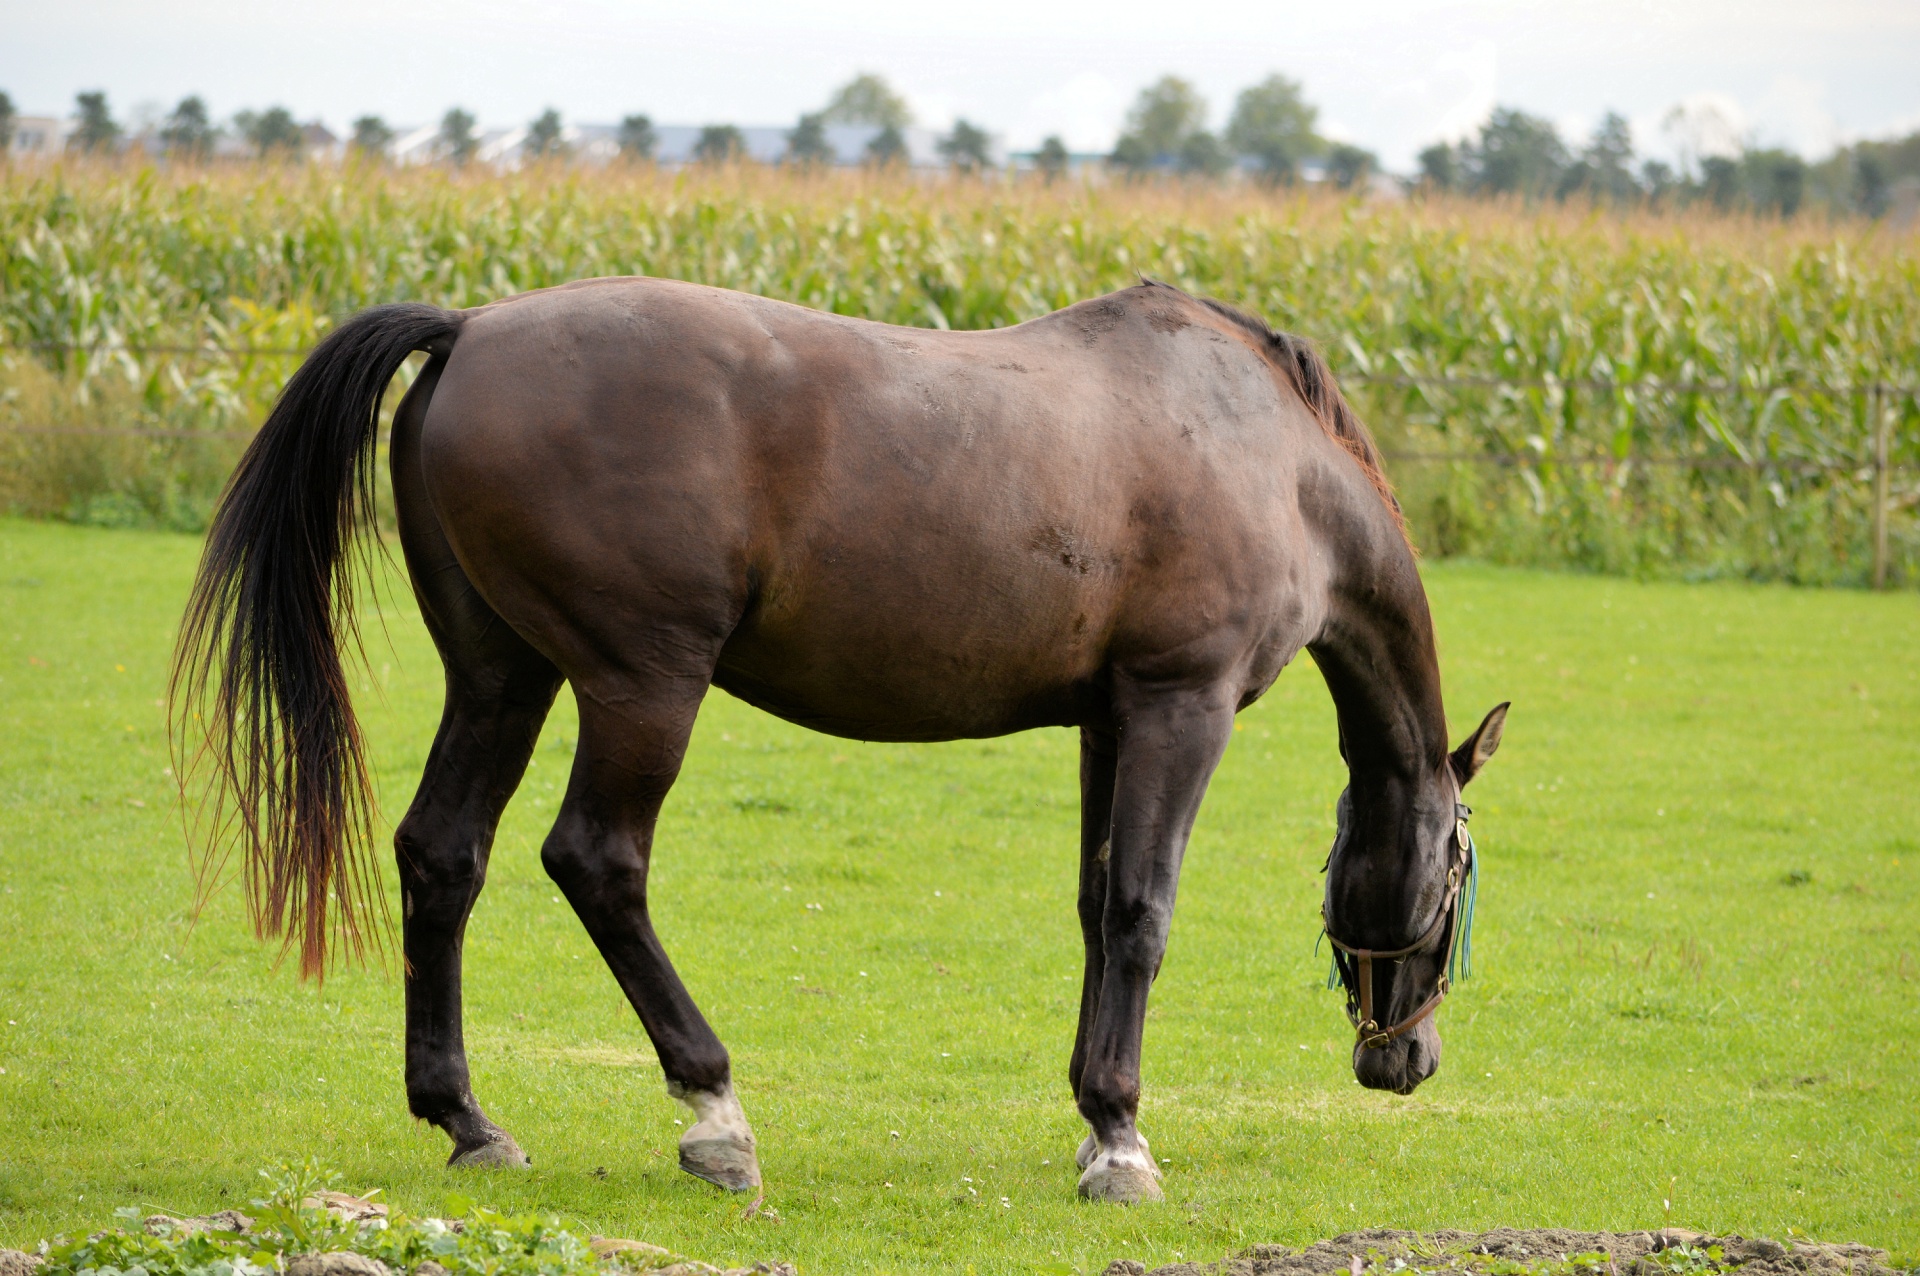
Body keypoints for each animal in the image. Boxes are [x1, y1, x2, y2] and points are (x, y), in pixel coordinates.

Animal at [172, 276, 1505, 1205]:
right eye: (1458, 866)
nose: (1409, 1057)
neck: (1269, 457)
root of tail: (472, 329)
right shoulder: (1183, 704)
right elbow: (1141, 909)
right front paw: (1122, 1136)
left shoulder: (1107, 717)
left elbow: (1094, 906)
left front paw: (1092, 1116)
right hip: (642, 685)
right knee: (596, 861)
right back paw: (714, 1112)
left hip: (505, 676)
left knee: (444, 854)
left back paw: (467, 1118)